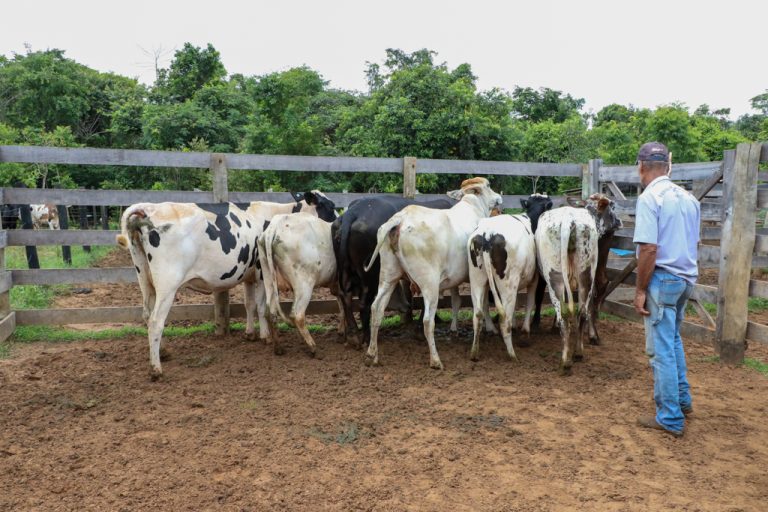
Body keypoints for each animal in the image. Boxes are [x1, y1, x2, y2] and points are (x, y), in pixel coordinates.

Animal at [116, 190, 336, 378]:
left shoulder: (249, 277)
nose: (336, 224)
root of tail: (147, 209)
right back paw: (156, 369)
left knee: (147, 315)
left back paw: (164, 352)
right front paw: (265, 336)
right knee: (156, 321)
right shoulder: (261, 273)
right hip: (167, 284)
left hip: (145, 280)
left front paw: (250, 334)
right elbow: (261, 305)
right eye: (328, 206)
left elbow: (249, 305)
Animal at [364, 178, 504, 370]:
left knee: (376, 309)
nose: (499, 198)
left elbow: (458, 301)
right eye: (488, 186)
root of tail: (400, 219)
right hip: (429, 283)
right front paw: (491, 328)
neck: (474, 206)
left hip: (388, 276)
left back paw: (372, 354)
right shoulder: (477, 275)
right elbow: (482, 304)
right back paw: (436, 360)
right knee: (427, 321)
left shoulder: (454, 278)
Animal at [468, 194, 552, 362]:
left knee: (478, 314)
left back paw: (474, 352)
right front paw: (525, 332)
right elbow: (530, 302)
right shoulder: (534, 279)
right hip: (508, 283)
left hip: (477, 280)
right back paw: (512, 353)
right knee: (503, 319)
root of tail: (488, 233)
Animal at [536, 194, 620, 374]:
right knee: (581, 312)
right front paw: (593, 335)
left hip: (555, 278)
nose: (619, 222)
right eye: (612, 206)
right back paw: (578, 352)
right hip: (586, 275)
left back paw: (565, 360)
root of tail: (569, 220)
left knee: (565, 316)